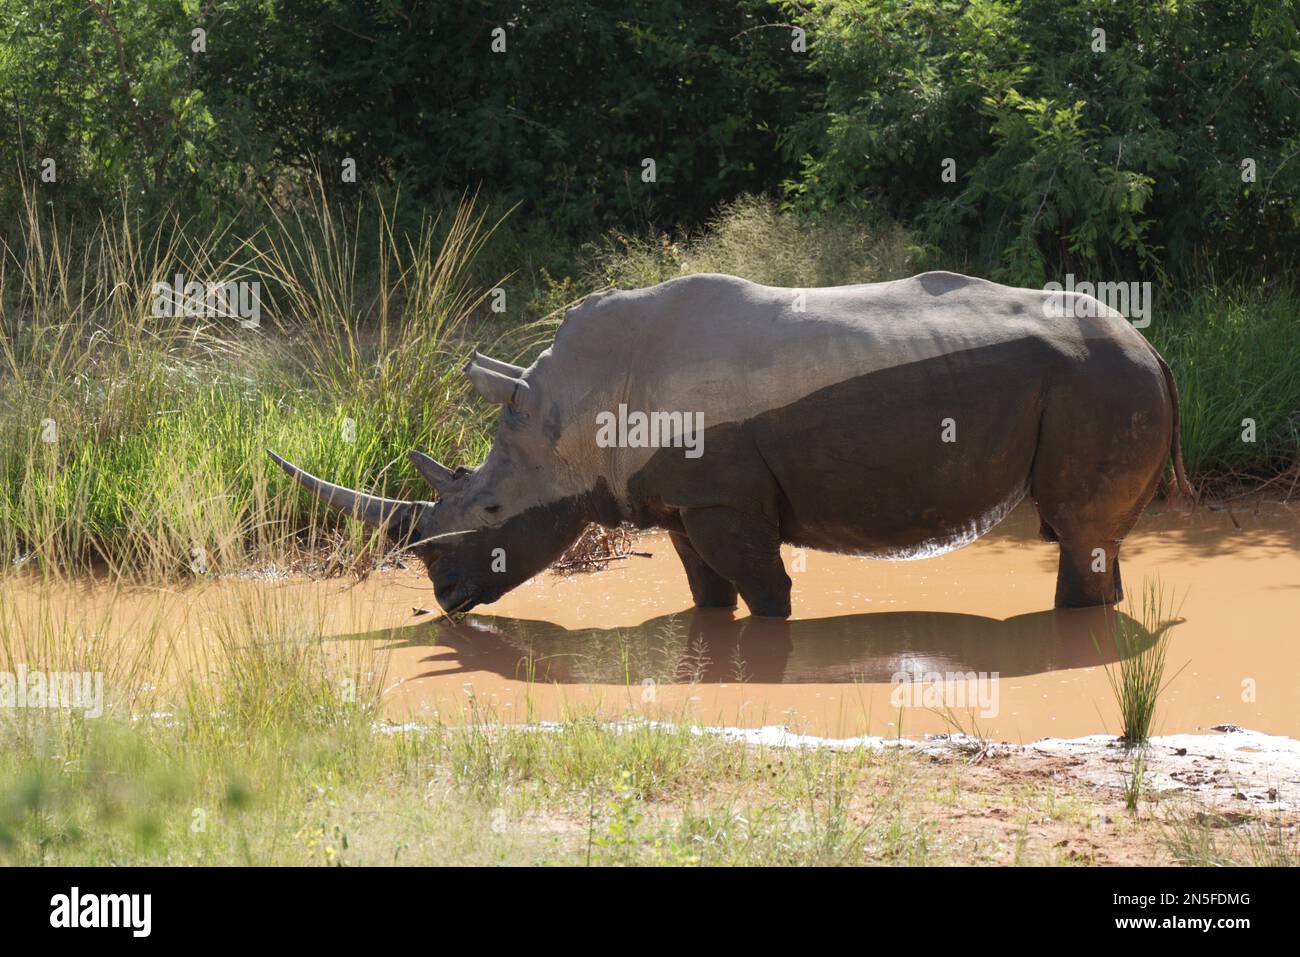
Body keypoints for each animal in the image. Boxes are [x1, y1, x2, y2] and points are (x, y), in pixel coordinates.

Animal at [270, 270, 1193, 618]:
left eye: (492, 507)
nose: (448, 594)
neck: (573, 407)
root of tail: (1156, 348)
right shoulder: (682, 499)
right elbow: (706, 591)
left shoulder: (727, 498)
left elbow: (766, 593)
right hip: (1100, 381)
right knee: (1088, 534)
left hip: (1101, 382)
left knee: (1078, 527)